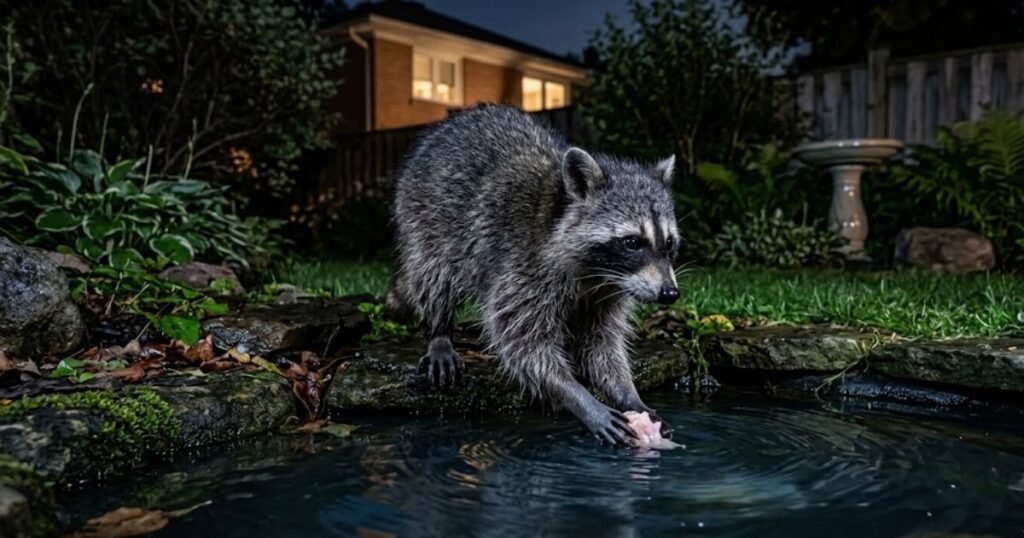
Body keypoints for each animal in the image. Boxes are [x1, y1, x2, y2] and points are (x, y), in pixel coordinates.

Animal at [391, 105, 679, 446]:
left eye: (669, 243)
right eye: (632, 242)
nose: (670, 293)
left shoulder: (605, 292)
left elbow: (600, 344)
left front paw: (627, 391)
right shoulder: (523, 269)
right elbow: (525, 343)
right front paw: (578, 396)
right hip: (423, 215)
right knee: (433, 273)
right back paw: (439, 328)